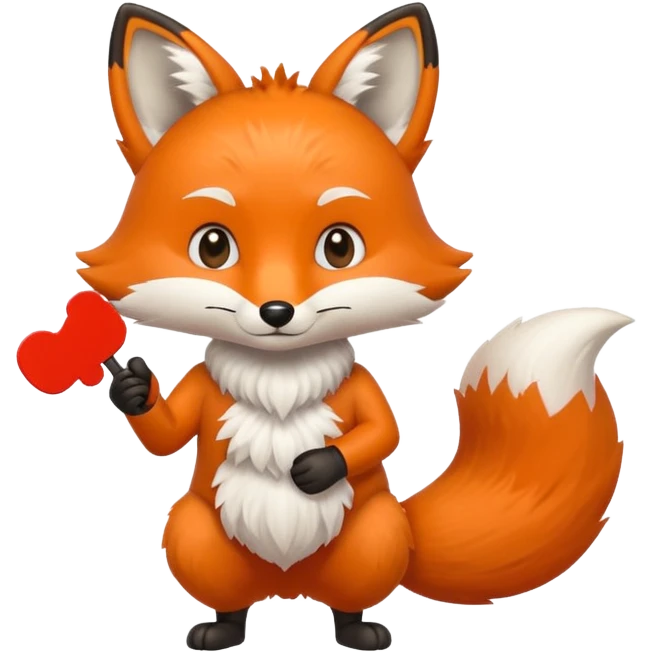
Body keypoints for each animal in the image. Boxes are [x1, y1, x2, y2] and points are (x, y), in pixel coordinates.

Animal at [80, 2, 632, 650]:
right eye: (212, 246)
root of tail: (289, 588)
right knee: (229, 598)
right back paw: (222, 628)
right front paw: (132, 387)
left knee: (349, 600)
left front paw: (318, 466)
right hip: (192, 536)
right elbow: (166, 435)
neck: (279, 378)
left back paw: (359, 630)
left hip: (376, 537)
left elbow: (382, 434)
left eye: (338, 246)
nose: (276, 312)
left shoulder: (363, 392)